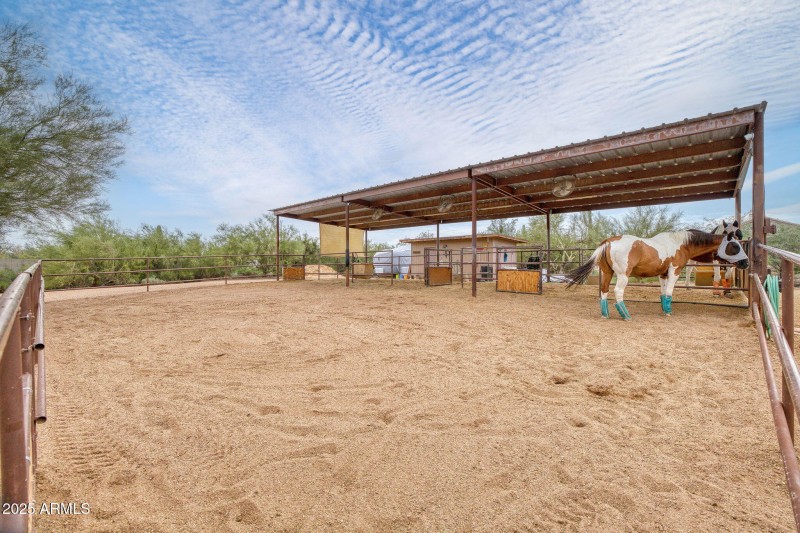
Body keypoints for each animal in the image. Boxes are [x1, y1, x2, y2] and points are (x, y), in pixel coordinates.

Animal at [566, 223, 749, 320]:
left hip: (607, 273)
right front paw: (668, 312)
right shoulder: (675, 271)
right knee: (618, 292)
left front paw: (663, 308)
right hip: (623, 276)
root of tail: (609, 241)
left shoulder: (663, 273)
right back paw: (625, 315)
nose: (746, 262)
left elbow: (662, 292)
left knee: (604, 291)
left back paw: (606, 314)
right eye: (735, 246)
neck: (681, 244)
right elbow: (669, 292)